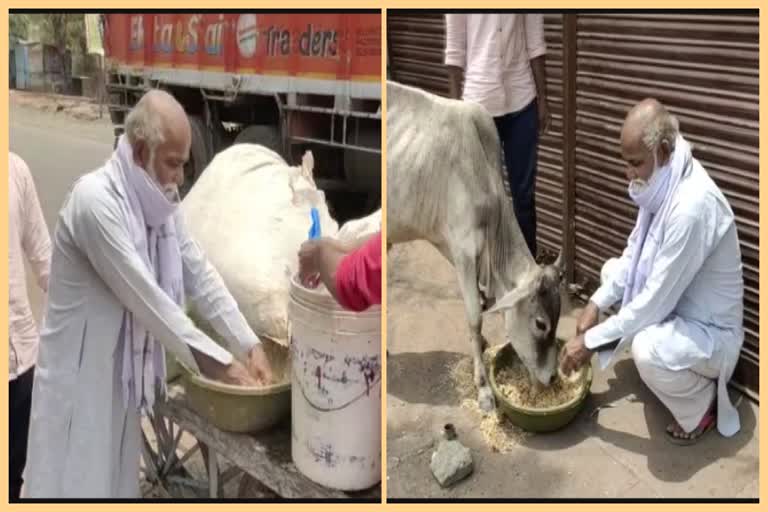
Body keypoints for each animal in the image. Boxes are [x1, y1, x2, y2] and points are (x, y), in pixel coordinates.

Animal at [388, 81, 560, 412]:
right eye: (540, 324)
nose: (553, 378)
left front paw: (480, 346)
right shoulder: (464, 250)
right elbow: (475, 316)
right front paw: (483, 387)